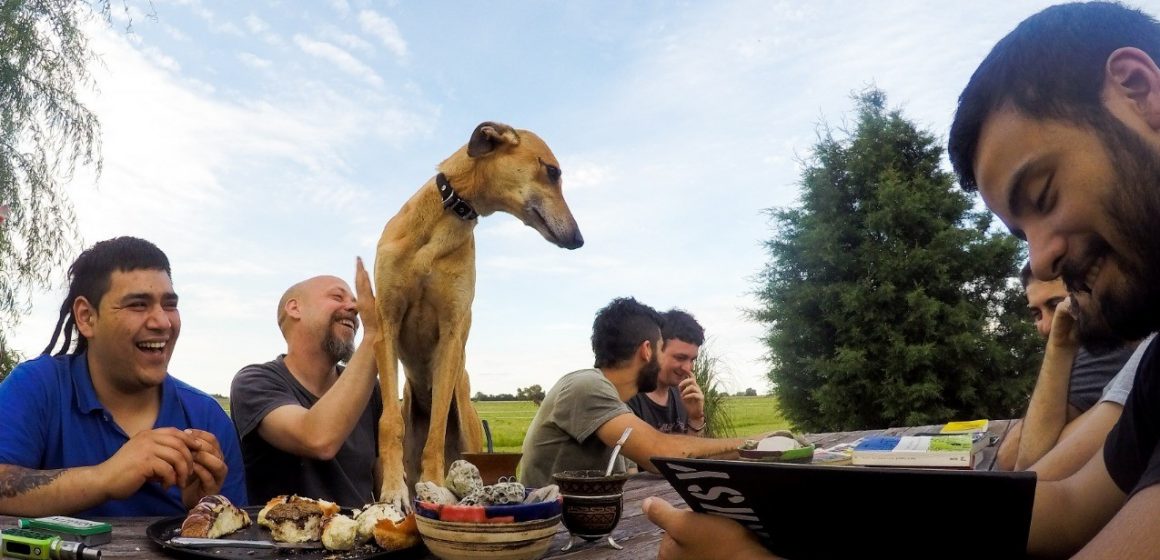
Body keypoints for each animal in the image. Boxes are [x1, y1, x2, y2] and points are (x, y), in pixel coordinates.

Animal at [375, 121, 584, 507]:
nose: (578, 239)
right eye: (552, 171)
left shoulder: (451, 334)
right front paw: (394, 491)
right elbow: (388, 423)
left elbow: (436, 432)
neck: (441, 223)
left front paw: (434, 489)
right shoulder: (386, 324)